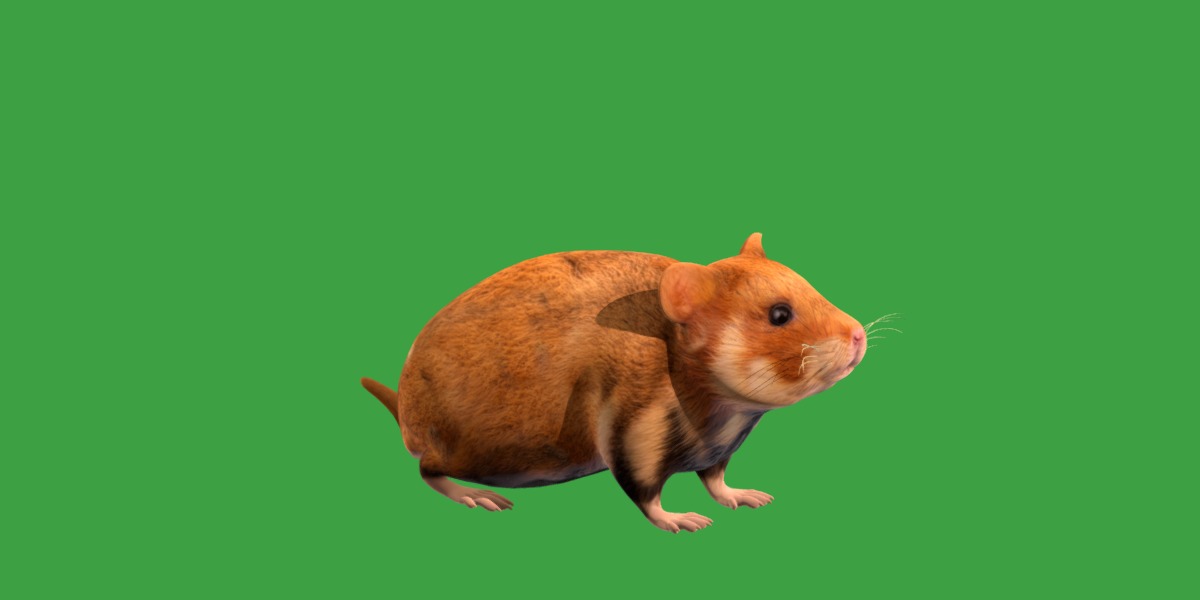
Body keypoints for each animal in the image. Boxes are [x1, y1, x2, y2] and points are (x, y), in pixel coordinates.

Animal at [361, 233, 867, 532]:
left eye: (809, 284)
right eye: (780, 314)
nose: (859, 335)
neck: (723, 414)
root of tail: (407, 413)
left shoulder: (715, 448)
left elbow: (715, 479)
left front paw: (736, 494)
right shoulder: (632, 426)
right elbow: (644, 492)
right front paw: (675, 517)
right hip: (457, 451)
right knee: (428, 471)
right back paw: (471, 493)